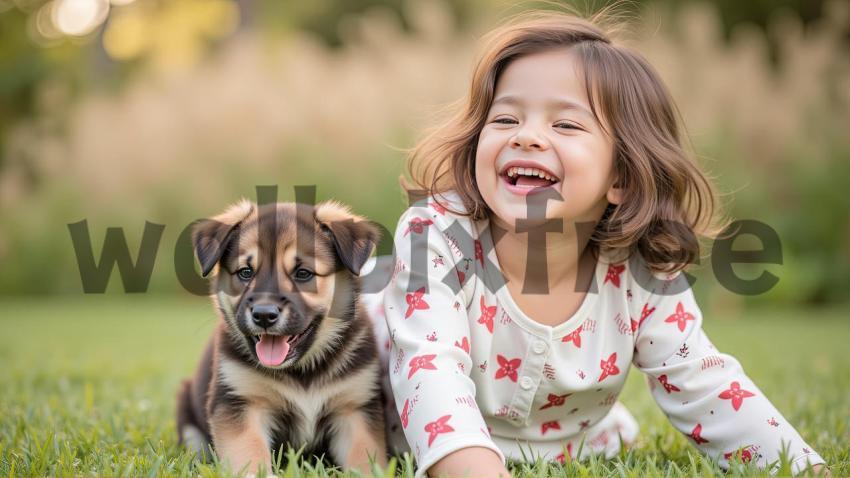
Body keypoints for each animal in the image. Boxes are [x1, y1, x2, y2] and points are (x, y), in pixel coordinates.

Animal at [176, 199, 388, 474]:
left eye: (303, 273)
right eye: (245, 272)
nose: (264, 315)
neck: (302, 372)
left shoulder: (355, 409)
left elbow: (365, 459)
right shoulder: (240, 402)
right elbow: (250, 453)